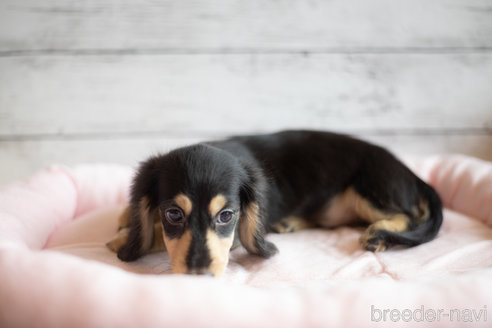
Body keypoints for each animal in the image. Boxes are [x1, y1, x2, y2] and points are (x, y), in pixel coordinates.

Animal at [106, 131, 442, 276]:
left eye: (226, 215)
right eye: (173, 214)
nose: (198, 273)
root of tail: (412, 174)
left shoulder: (236, 238)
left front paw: (126, 237)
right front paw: (126, 224)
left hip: (367, 188)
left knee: (408, 216)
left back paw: (378, 233)